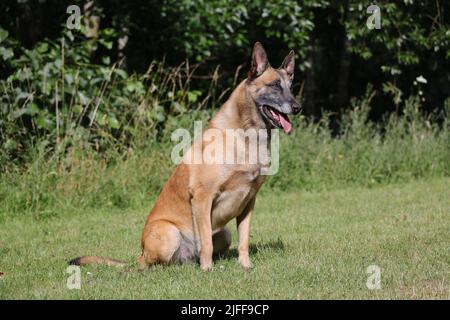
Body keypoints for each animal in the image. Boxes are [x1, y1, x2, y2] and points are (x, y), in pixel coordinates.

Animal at [70, 42, 300, 270]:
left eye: (290, 86)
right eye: (274, 85)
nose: (297, 107)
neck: (247, 137)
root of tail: (139, 254)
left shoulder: (249, 200)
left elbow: (244, 239)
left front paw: (245, 265)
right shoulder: (202, 197)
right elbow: (206, 242)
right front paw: (207, 269)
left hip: (224, 233)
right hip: (169, 234)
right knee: (151, 264)